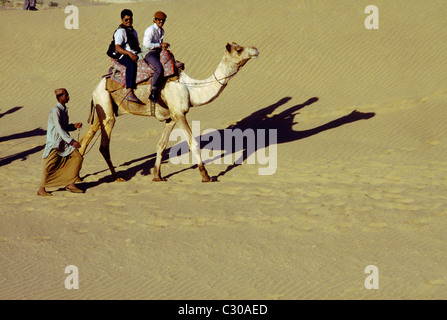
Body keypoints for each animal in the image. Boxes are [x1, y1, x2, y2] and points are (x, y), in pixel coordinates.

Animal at [79, 42, 258, 182]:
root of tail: (95, 88)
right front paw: (206, 176)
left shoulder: (171, 118)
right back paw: (116, 177)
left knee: (86, 138)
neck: (191, 88)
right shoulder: (180, 114)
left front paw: (157, 176)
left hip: (101, 110)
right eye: (239, 49)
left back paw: (78, 178)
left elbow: (161, 145)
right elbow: (193, 143)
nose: (256, 49)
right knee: (104, 145)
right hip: (106, 108)